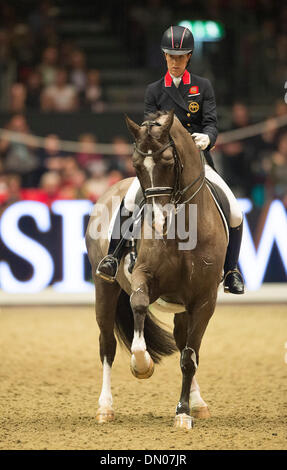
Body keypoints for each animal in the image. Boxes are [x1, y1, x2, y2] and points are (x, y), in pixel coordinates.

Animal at [84, 110, 228, 430]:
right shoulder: (143, 276)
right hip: (105, 288)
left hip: (183, 308)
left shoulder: (204, 300)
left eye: (169, 161)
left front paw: (184, 412)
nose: (158, 221)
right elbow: (138, 305)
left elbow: (189, 357)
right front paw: (142, 365)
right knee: (106, 345)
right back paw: (104, 407)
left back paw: (198, 403)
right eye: (136, 163)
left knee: (185, 344)